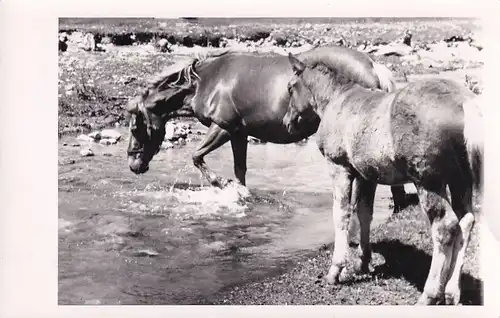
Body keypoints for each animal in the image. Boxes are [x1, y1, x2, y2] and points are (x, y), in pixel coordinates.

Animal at [124, 46, 406, 212]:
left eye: (136, 127)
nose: (133, 165)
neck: (206, 82)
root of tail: (371, 66)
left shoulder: (223, 128)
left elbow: (197, 156)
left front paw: (222, 183)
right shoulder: (239, 134)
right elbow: (240, 169)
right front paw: (239, 194)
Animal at [286, 52, 484, 306]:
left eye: (290, 87)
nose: (287, 122)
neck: (337, 100)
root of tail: (465, 104)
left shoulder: (339, 168)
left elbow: (341, 215)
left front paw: (335, 271)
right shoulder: (366, 176)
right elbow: (364, 213)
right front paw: (362, 263)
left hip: (428, 181)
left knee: (445, 226)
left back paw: (430, 294)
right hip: (460, 180)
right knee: (465, 222)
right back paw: (451, 292)